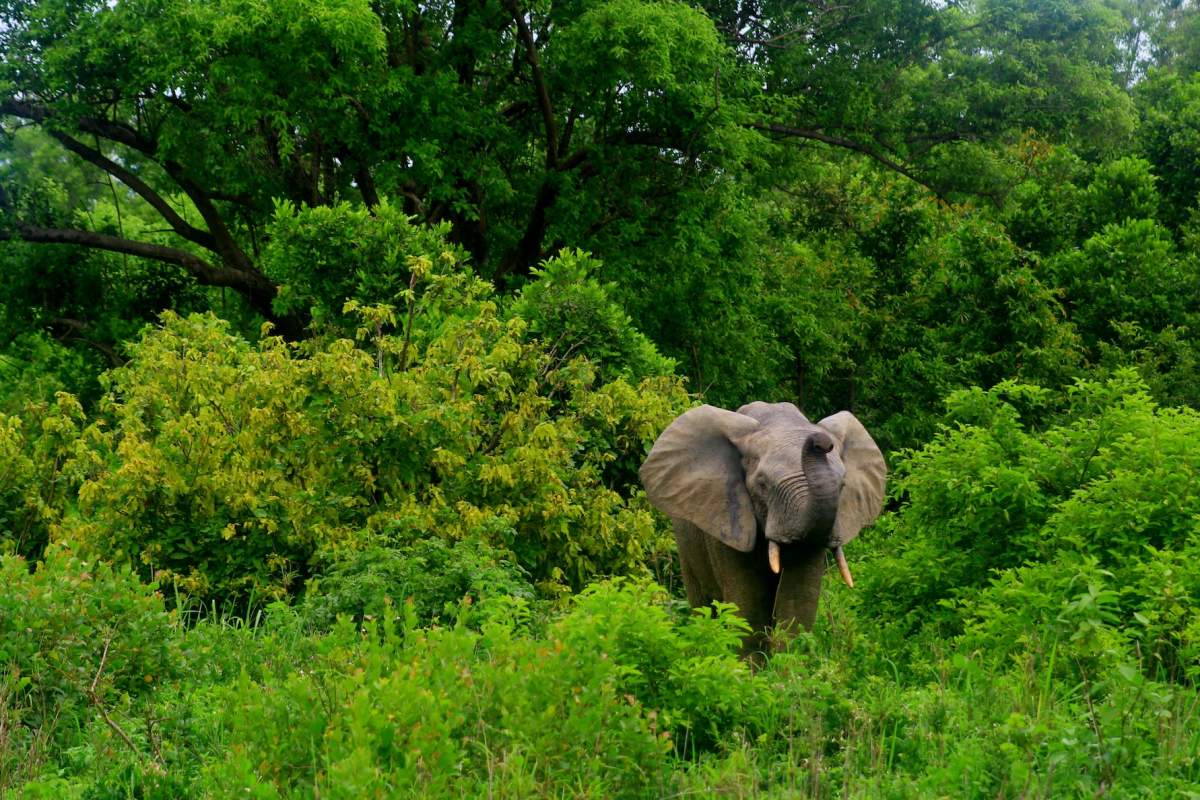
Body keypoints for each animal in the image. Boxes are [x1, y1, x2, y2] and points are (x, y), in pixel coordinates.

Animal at [643, 402, 888, 652]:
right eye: (762, 485)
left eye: (843, 485)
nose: (821, 442)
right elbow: (748, 605)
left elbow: (797, 601)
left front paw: (789, 662)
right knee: (702, 604)